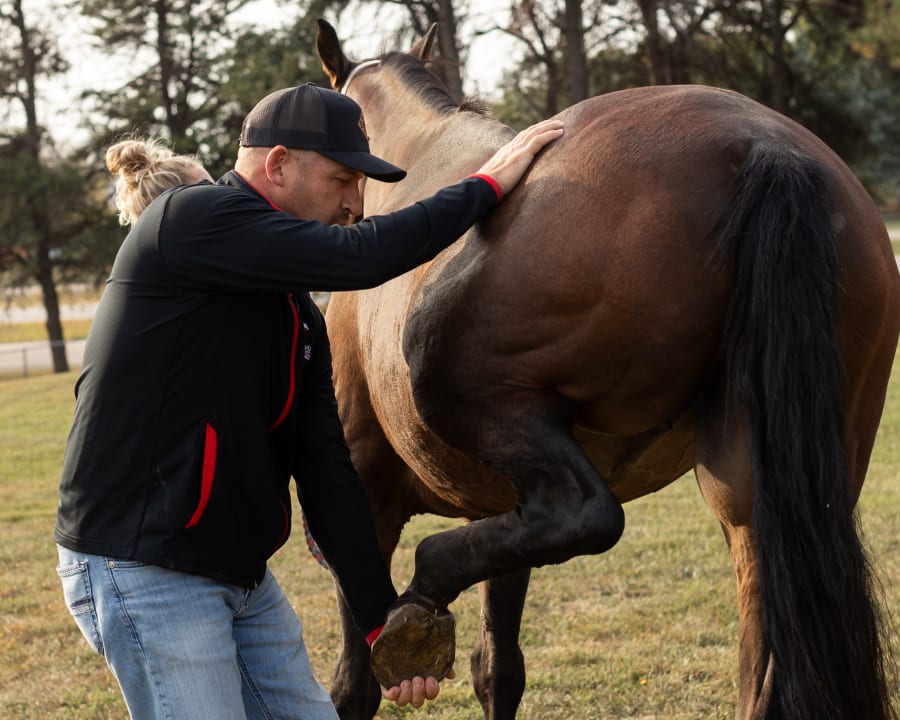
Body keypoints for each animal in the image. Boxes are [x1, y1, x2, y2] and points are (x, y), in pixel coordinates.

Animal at [312, 16, 896, 720]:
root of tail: (764, 145)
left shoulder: (366, 496)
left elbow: (355, 684)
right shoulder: (499, 511)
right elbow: (498, 669)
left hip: (472, 393)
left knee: (589, 514)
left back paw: (427, 584)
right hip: (761, 493)